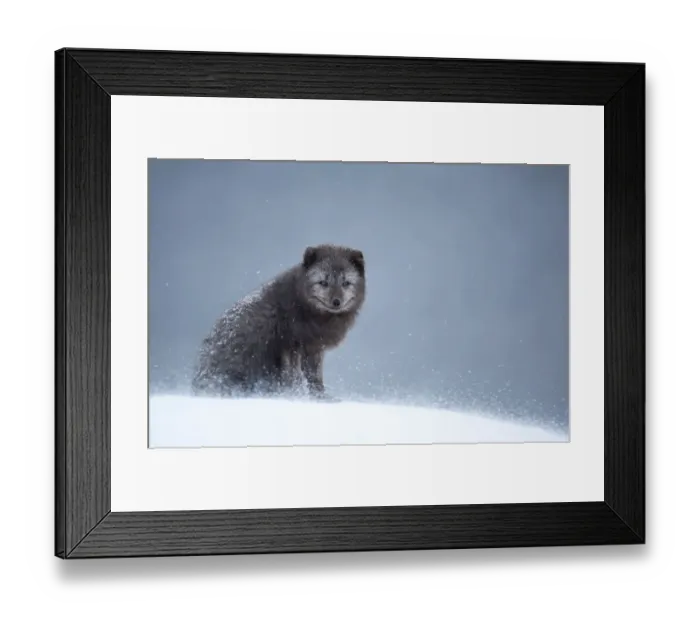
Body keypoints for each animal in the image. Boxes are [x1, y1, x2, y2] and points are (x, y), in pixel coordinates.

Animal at [192, 244, 366, 400]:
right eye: (323, 282)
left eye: (346, 283)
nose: (336, 302)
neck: (302, 306)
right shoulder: (291, 346)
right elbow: (296, 378)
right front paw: (295, 396)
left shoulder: (313, 349)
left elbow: (314, 378)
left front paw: (320, 397)